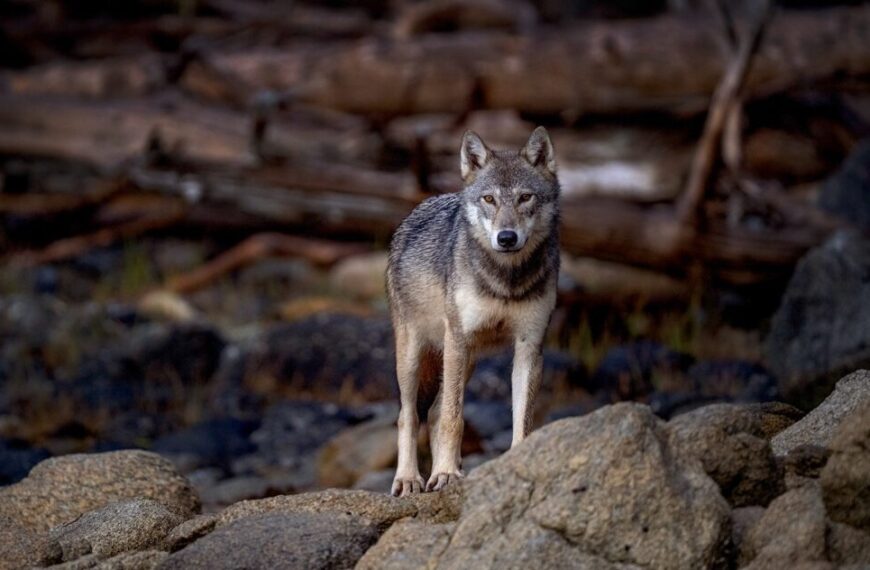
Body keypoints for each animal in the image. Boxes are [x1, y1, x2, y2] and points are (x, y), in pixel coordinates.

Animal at [386, 126, 560, 496]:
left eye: (525, 198)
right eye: (489, 199)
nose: (506, 238)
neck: (505, 280)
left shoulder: (530, 345)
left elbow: (523, 418)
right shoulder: (459, 338)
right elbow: (454, 418)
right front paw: (445, 474)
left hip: (465, 359)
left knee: (434, 412)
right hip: (417, 356)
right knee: (409, 415)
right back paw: (409, 479)